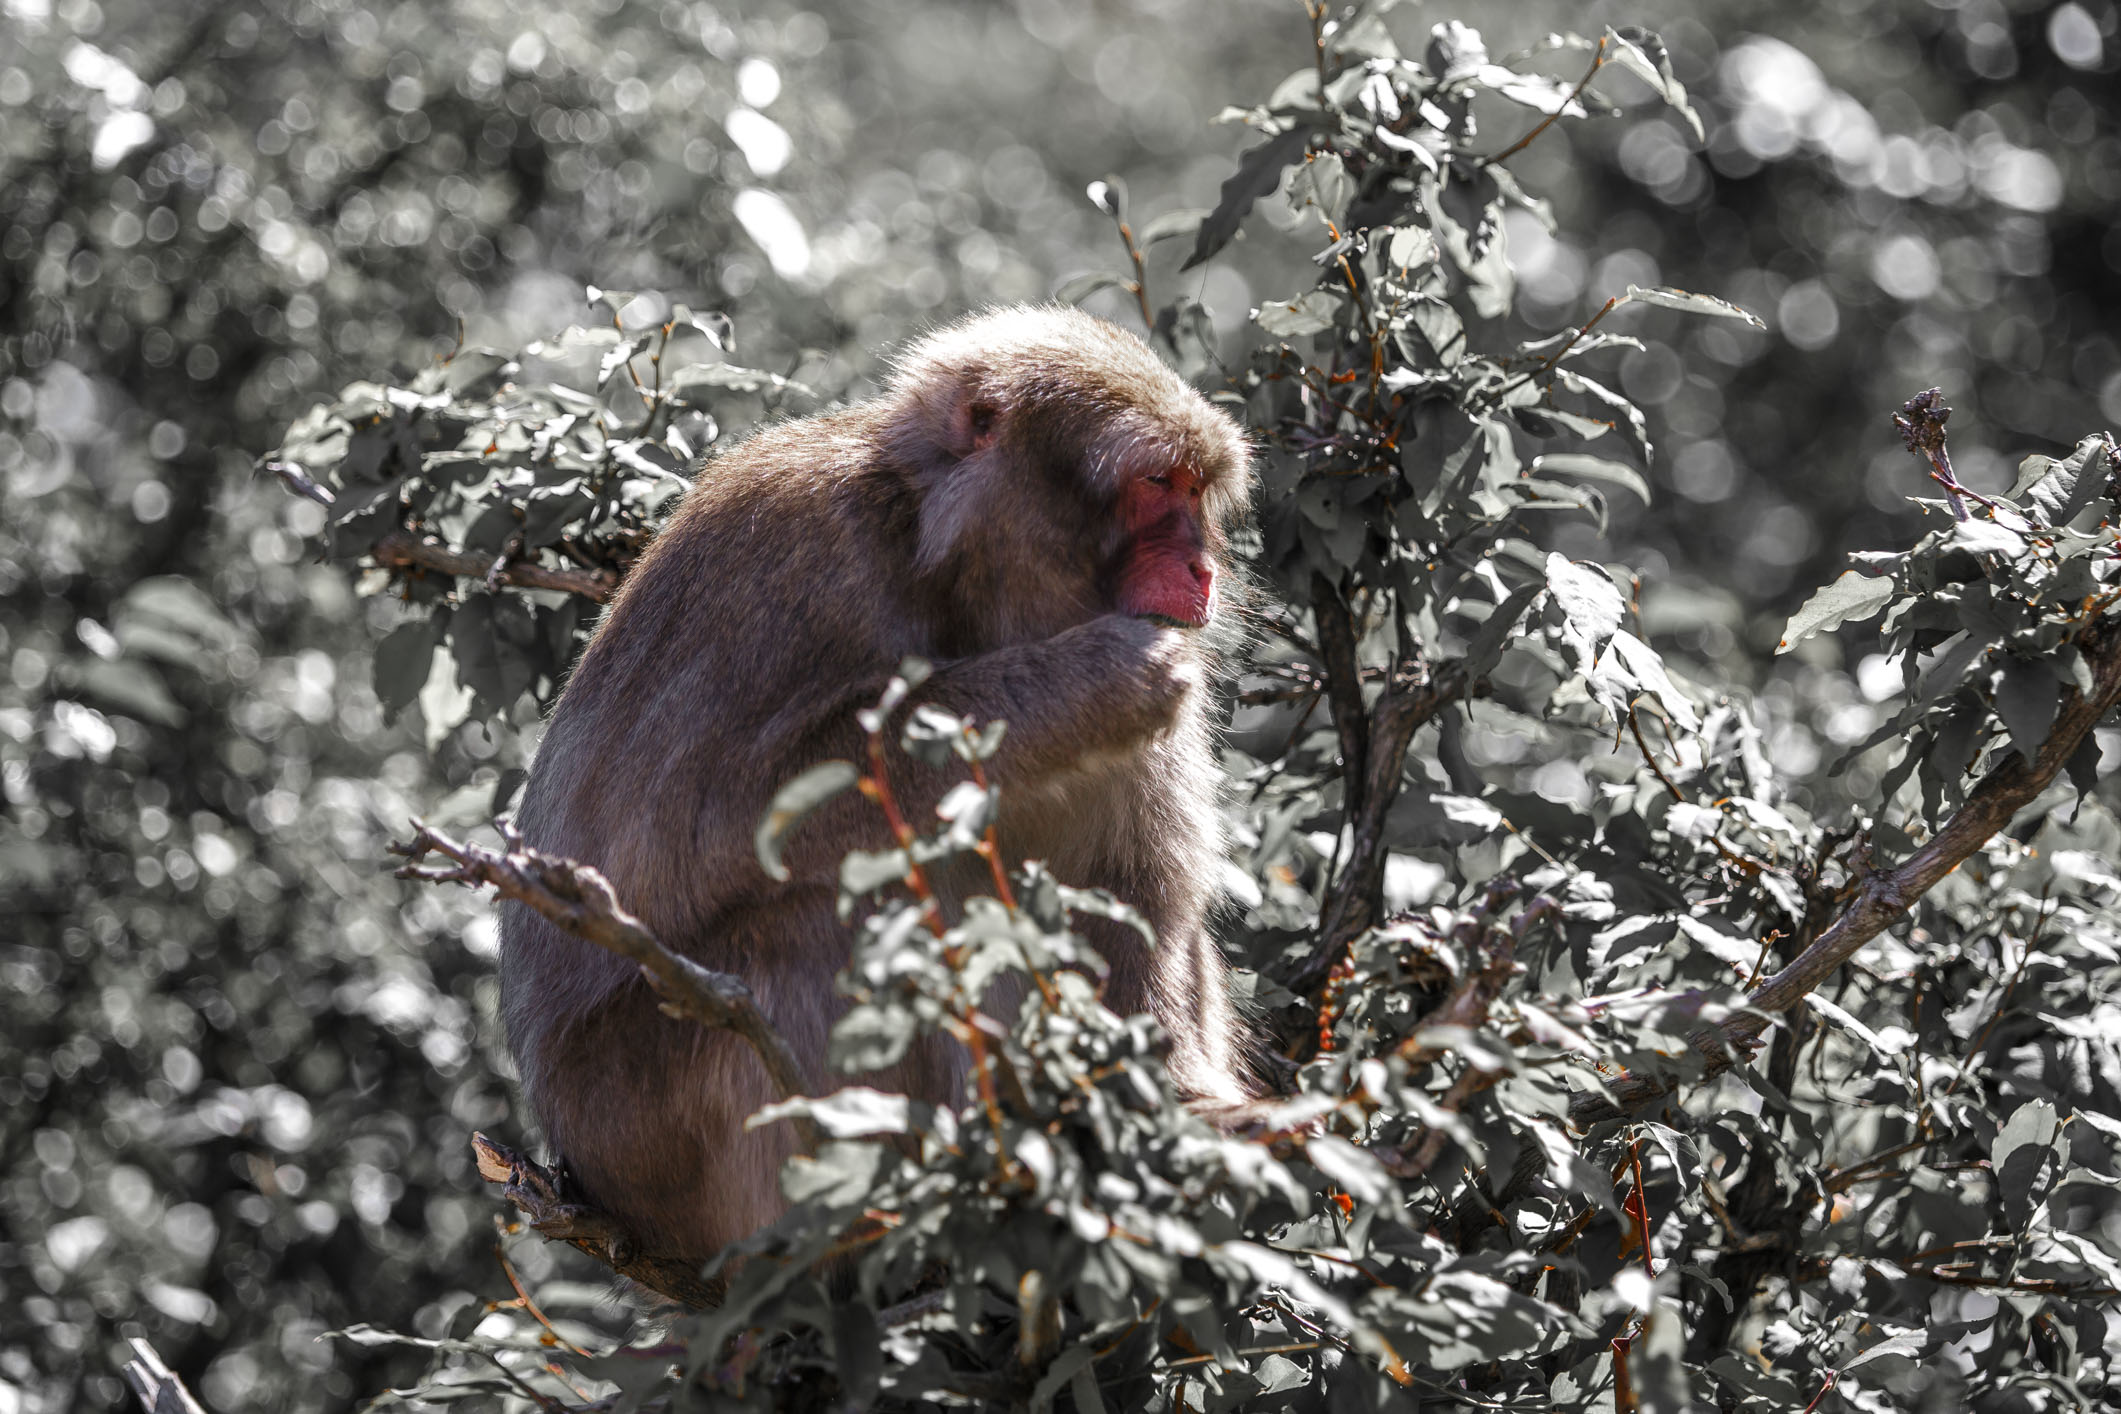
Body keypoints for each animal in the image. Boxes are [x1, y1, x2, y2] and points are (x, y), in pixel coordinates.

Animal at [498, 304, 1255, 1271]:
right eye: (1158, 483)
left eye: (1196, 491)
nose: (1201, 569)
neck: (950, 568)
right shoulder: (804, 556)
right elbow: (715, 816)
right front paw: (1087, 680)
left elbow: (1128, 895)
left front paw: (1179, 1104)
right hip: (635, 1131)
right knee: (818, 921)